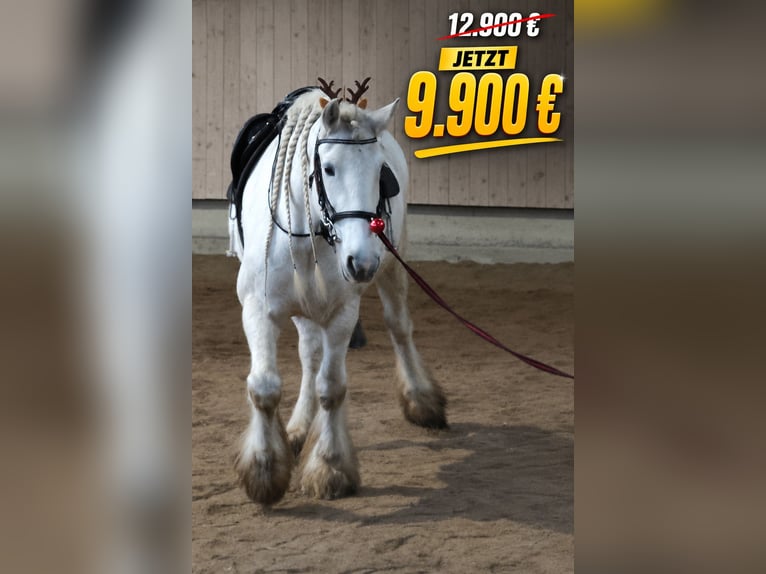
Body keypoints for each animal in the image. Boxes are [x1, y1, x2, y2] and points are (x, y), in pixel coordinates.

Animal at [228, 81, 447, 504]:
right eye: (327, 168)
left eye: (380, 171)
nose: (360, 262)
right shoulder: (257, 310)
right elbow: (264, 387)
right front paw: (264, 471)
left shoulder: (343, 312)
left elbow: (331, 388)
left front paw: (330, 468)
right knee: (309, 353)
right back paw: (297, 428)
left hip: (394, 266)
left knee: (399, 328)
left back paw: (422, 401)